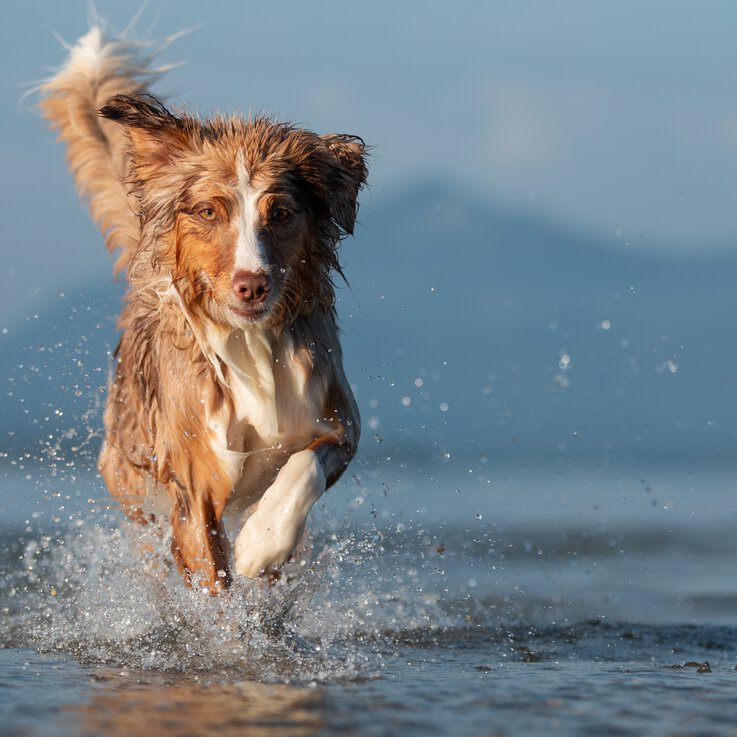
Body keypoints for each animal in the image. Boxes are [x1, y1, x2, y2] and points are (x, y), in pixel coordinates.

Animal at [38, 25, 366, 596]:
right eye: (209, 211)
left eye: (281, 213)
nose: (251, 285)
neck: (250, 346)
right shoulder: (196, 488)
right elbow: (211, 587)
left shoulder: (339, 422)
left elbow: (302, 470)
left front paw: (261, 543)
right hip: (132, 485)